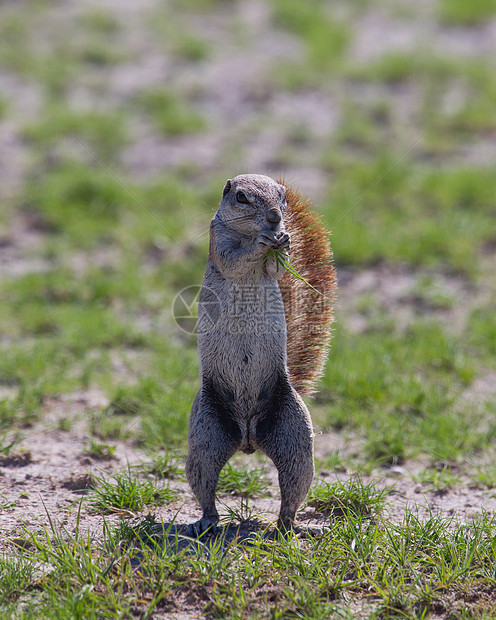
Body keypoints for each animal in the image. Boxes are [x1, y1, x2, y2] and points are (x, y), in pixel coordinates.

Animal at [187, 173, 338, 532]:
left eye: (281, 196)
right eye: (241, 197)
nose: (274, 217)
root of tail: (247, 437)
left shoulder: (273, 268)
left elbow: (278, 271)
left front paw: (284, 241)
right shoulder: (219, 242)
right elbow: (234, 259)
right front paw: (261, 244)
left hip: (294, 436)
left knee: (292, 492)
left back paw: (295, 526)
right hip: (205, 436)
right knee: (205, 485)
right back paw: (205, 522)